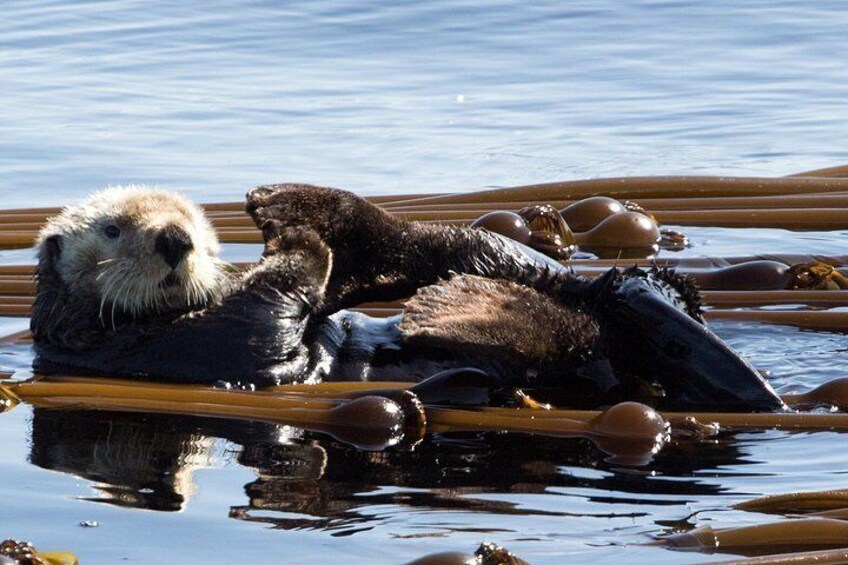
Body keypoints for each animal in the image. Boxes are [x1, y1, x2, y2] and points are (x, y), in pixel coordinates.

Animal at [31, 184, 785, 412]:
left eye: (193, 220)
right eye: (112, 227)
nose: (174, 239)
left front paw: (291, 239)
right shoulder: (184, 347)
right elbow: (275, 311)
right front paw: (296, 245)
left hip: (502, 262)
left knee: (460, 251)